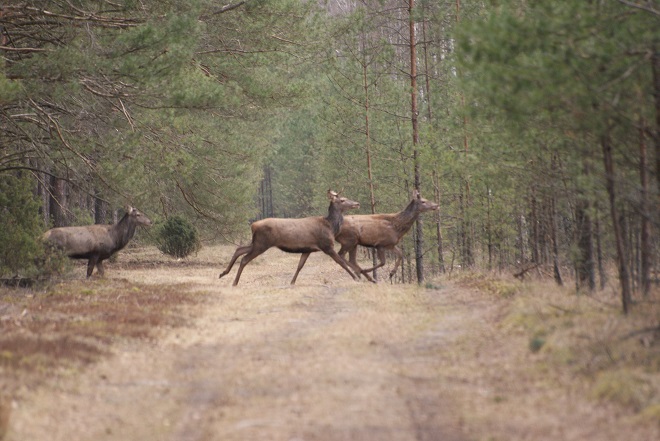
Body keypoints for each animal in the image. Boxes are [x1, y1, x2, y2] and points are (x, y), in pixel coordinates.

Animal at [219, 189, 358, 286]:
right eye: (342, 200)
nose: (357, 203)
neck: (331, 227)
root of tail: (253, 225)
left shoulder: (307, 249)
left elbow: (300, 266)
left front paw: (292, 282)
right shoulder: (327, 246)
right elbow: (341, 262)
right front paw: (356, 278)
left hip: (256, 242)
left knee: (239, 249)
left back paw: (223, 273)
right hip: (262, 243)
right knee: (244, 258)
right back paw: (234, 282)